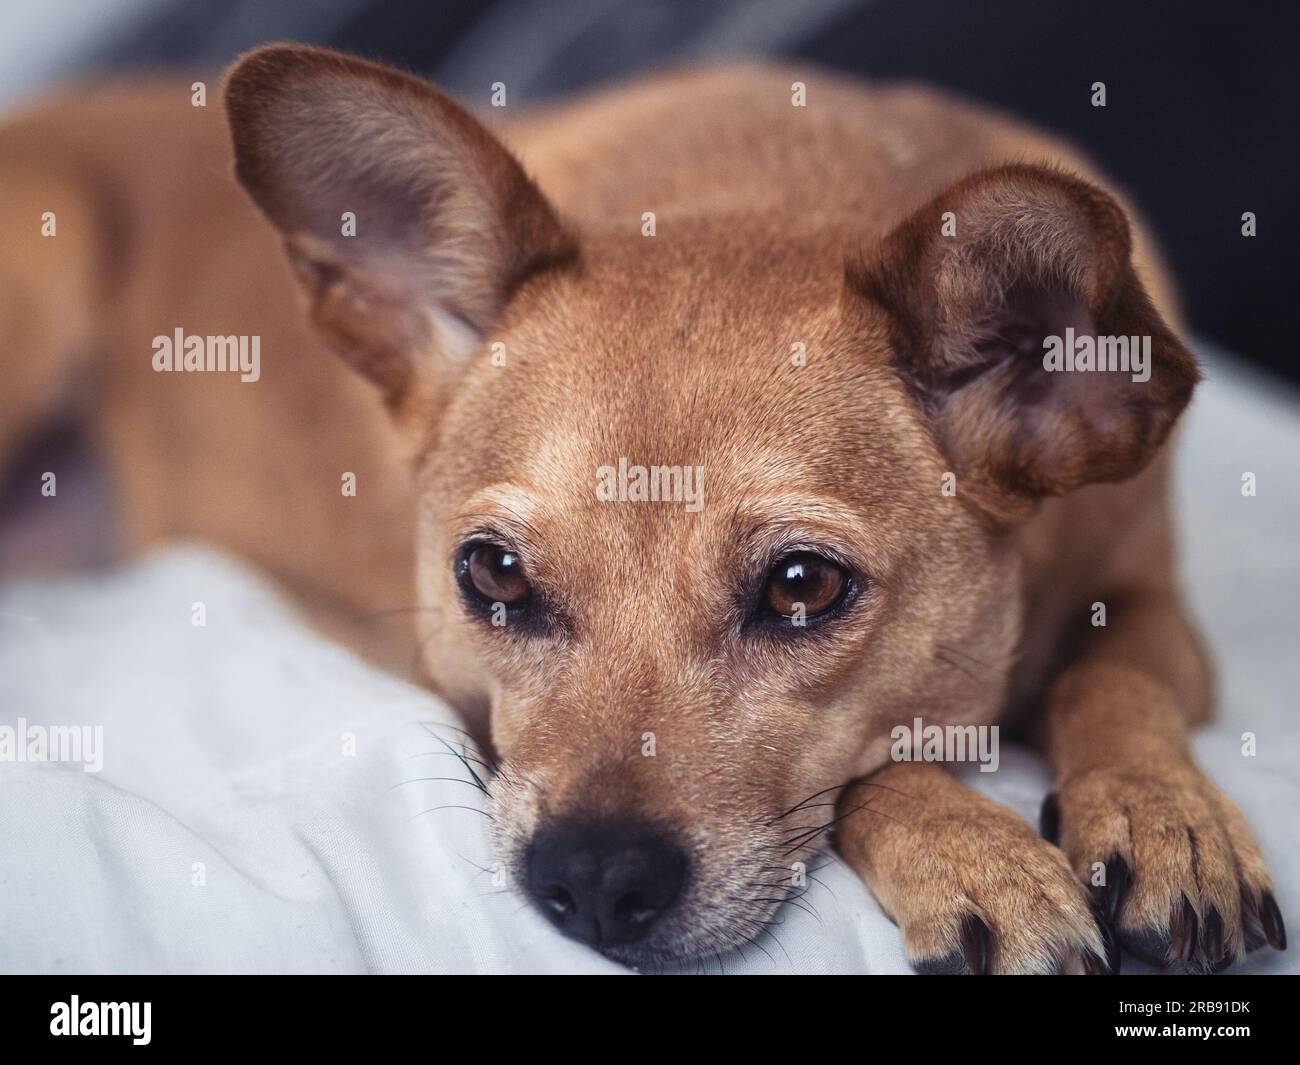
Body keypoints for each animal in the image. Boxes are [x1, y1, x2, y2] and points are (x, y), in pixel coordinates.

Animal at [0, 43, 1279, 972]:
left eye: (803, 588)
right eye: (491, 575)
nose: (593, 883)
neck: (765, 186)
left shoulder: (1151, 598)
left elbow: (1113, 676)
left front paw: (1167, 816)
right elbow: (874, 767)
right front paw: (976, 853)